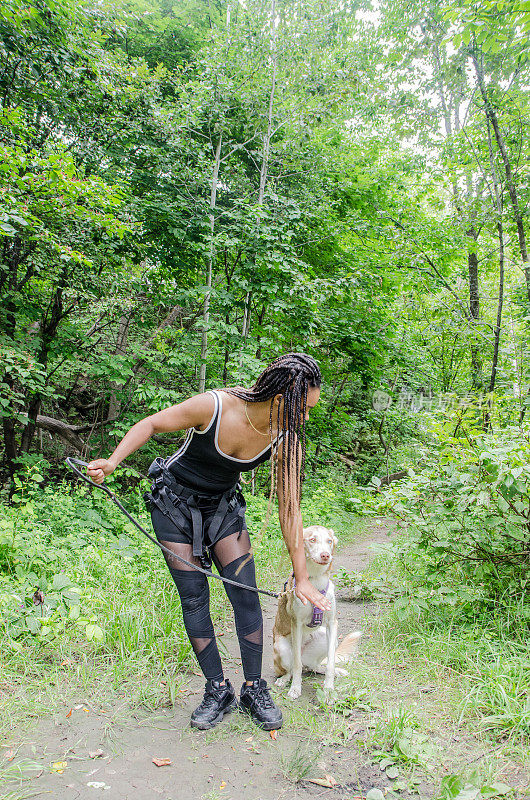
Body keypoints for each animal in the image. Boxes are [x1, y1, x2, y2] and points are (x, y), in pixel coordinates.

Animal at [270, 524, 360, 700]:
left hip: (326, 637)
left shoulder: (332, 624)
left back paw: (333, 671)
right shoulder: (296, 624)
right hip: (281, 647)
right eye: (312, 540)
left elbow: (331, 662)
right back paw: (284, 680)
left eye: (329, 541)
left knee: (315, 667)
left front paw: (329, 690)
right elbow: (296, 665)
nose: (326, 555)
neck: (315, 584)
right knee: (291, 669)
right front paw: (295, 689)